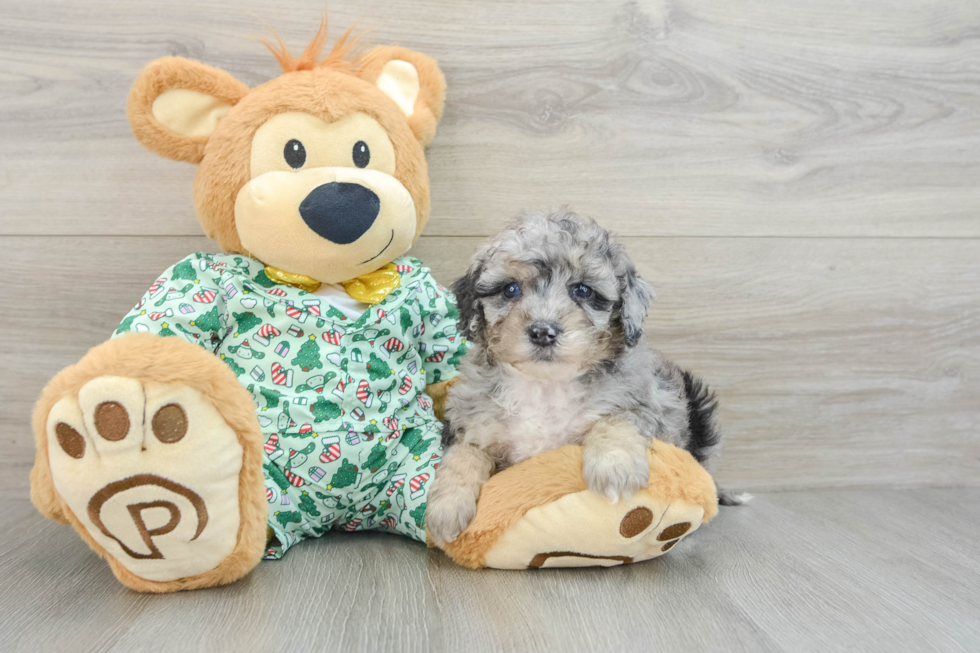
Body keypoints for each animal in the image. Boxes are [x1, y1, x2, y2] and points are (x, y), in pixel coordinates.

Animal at [424, 210, 748, 544]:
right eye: (510, 289)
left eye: (582, 290)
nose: (543, 331)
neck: (545, 385)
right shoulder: (471, 423)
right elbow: (463, 454)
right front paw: (446, 508)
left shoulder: (646, 405)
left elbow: (615, 420)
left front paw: (614, 468)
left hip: (700, 412)